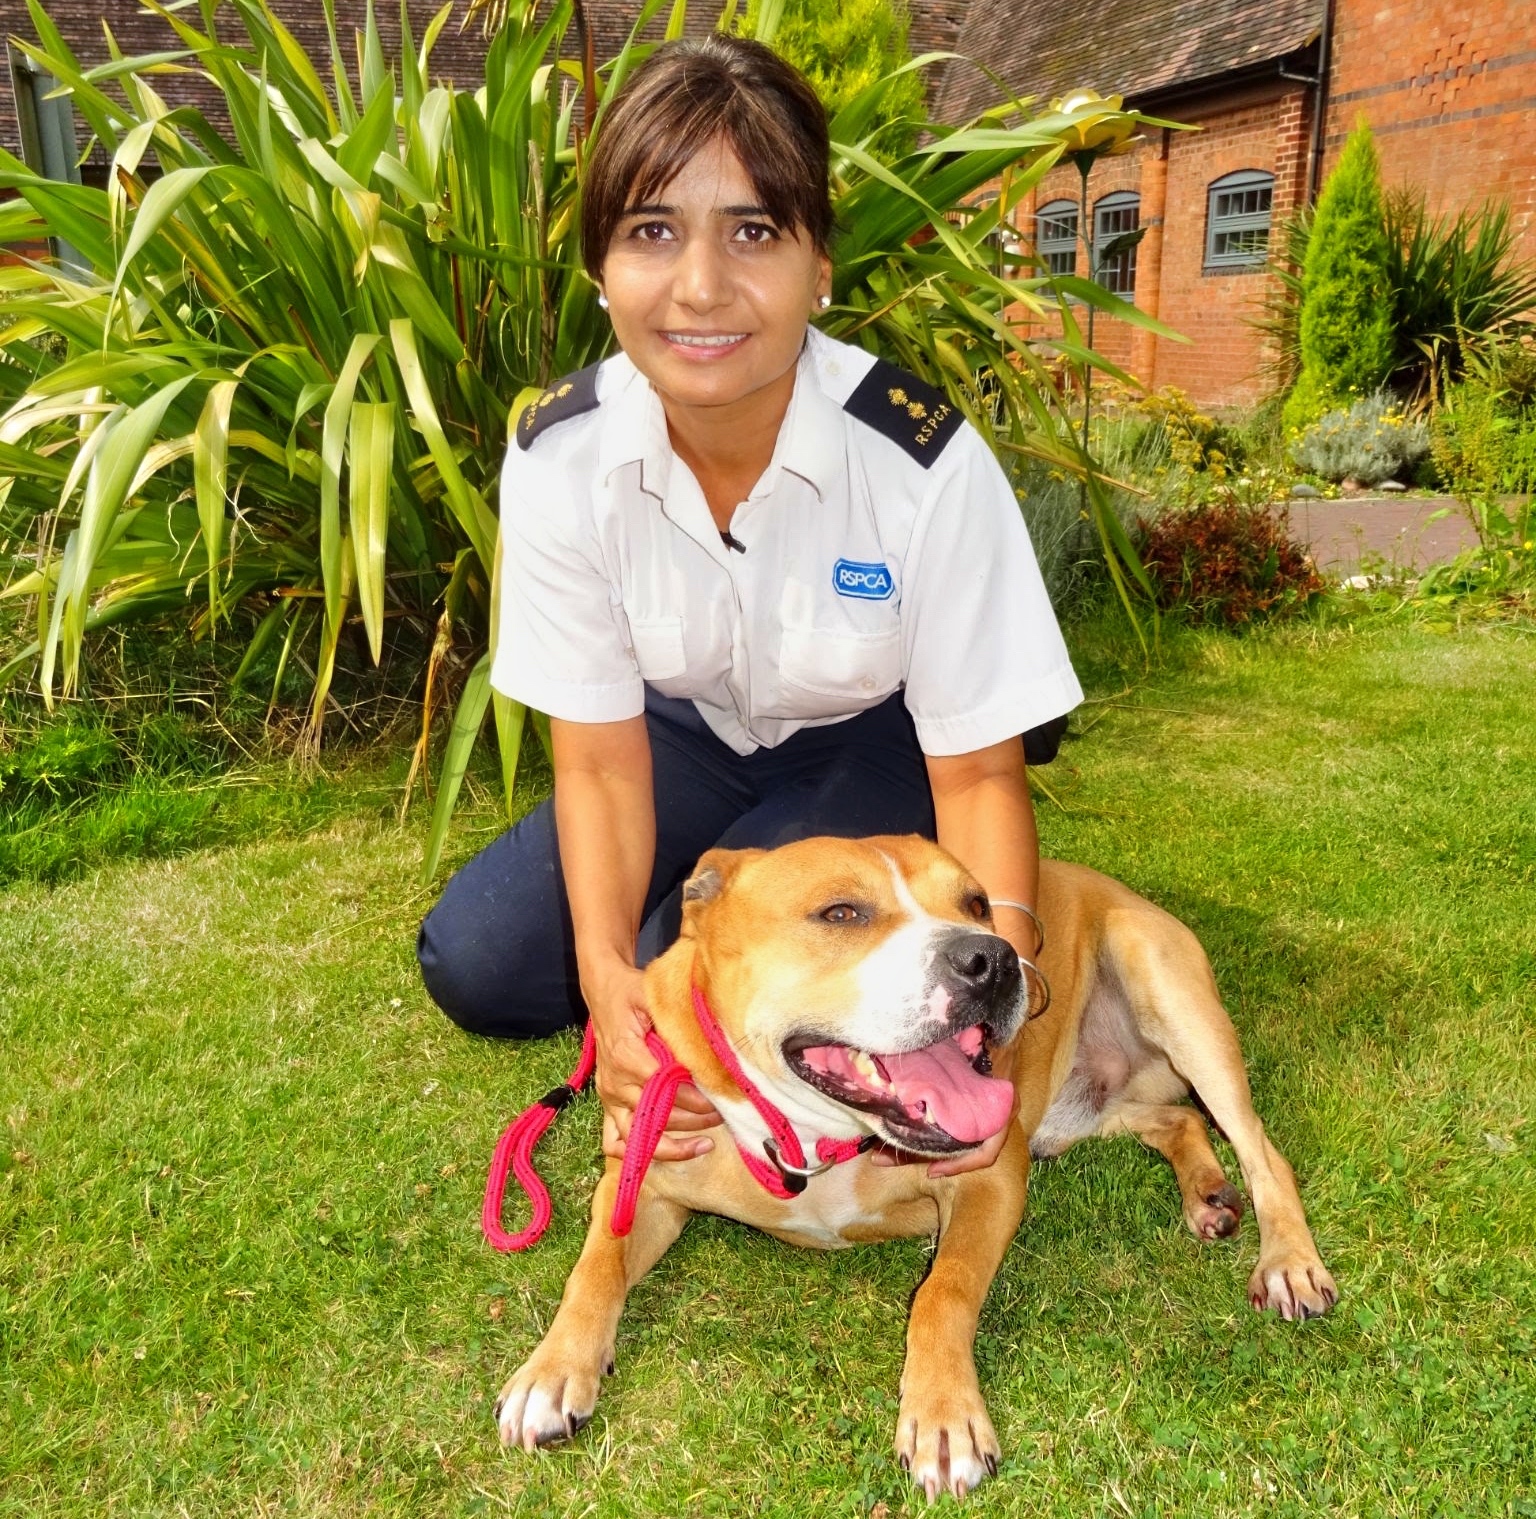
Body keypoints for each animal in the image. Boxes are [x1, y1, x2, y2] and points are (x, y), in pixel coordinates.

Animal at [497, 835, 1339, 1499]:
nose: (993, 957)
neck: (817, 1137)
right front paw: (552, 1371)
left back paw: (1289, 1260)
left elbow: (944, 1290)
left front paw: (942, 1418)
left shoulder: (992, 1178)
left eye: (976, 902)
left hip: (1166, 989)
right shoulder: (643, 1168)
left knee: (1262, 1150)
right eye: (841, 913)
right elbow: (595, 1266)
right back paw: (1207, 1191)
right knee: (1178, 1118)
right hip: (1077, 1109)